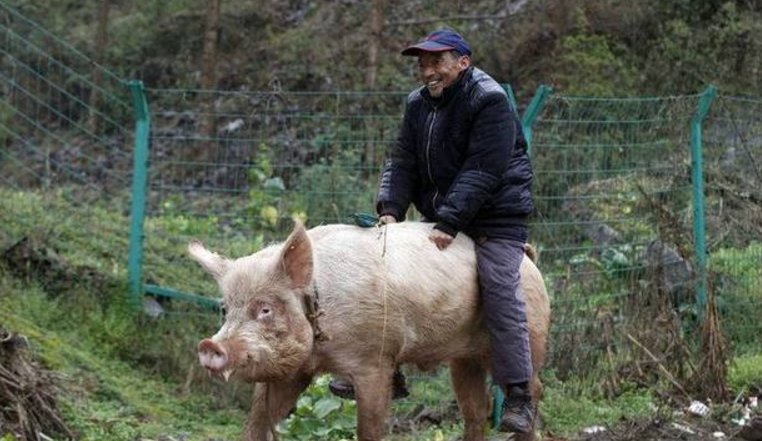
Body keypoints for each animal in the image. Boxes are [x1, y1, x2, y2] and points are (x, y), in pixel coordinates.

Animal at [189, 220, 548, 440]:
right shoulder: (293, 370)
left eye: (264, 309)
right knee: (476, 408)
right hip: (463, 359)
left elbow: (370, 427)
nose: (209, 345)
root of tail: (529, 258)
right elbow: (258, 421)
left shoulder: (376, 360)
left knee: (533, 387)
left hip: (529, 334)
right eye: (225, 309)